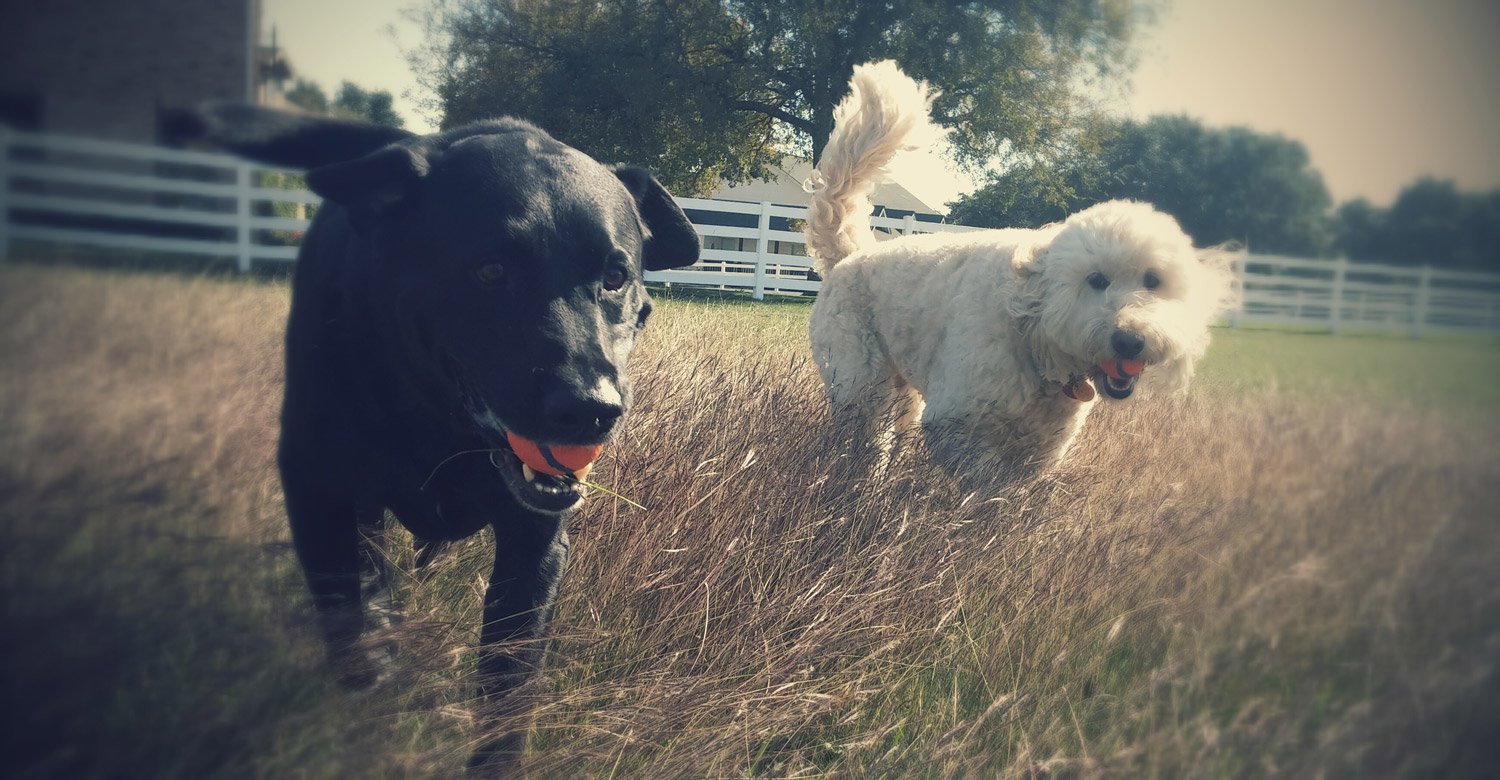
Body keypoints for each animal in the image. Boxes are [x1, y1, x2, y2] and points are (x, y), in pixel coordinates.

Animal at [168, 105, 696, 768]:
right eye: (491, 270)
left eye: (615, 276)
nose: (590, 409)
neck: (440, 424)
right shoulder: (317, 489)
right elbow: (350, 620)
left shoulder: (535, 545)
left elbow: (507, 693)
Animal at [810, 62, 1230, 480]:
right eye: (1096, 280)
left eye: (1153, 280)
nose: (1130, 341)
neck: (1032, 324)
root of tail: (853, 254)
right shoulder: (954, 422)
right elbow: (986, 482)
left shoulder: (1044, 446)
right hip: (860, 384)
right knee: (867, 441)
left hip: (901, 391)